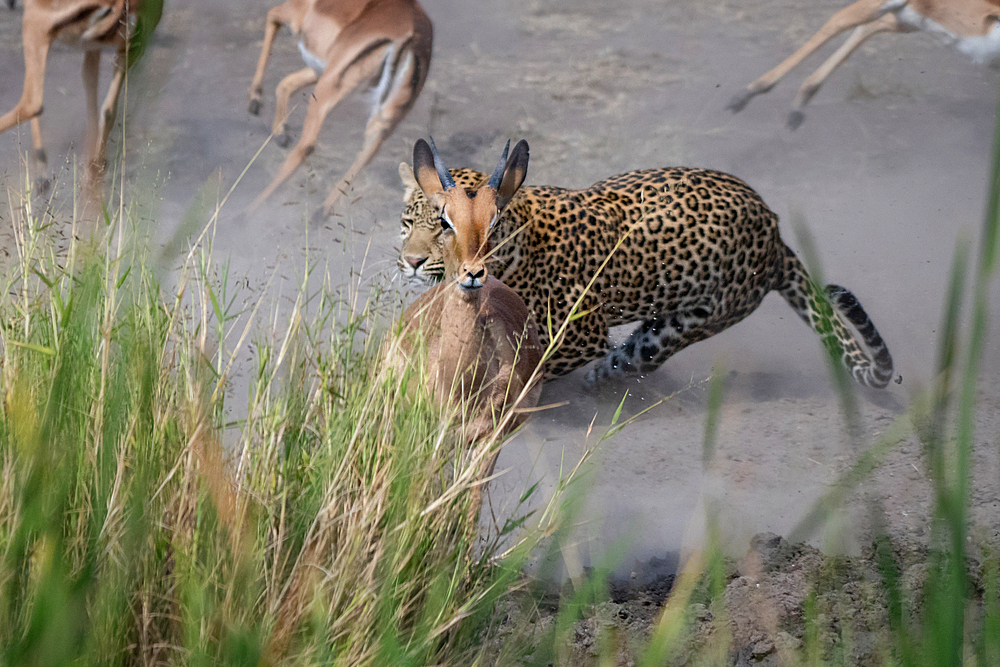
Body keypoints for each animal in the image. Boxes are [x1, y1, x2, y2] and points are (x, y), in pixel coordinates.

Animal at [394, 160, 896, 388]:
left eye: (445, 225)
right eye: (408, 221)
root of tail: (773, 230)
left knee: (630, 360)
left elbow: (530, 369)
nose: (411, 260)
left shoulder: (580, 335)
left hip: (682, 326)